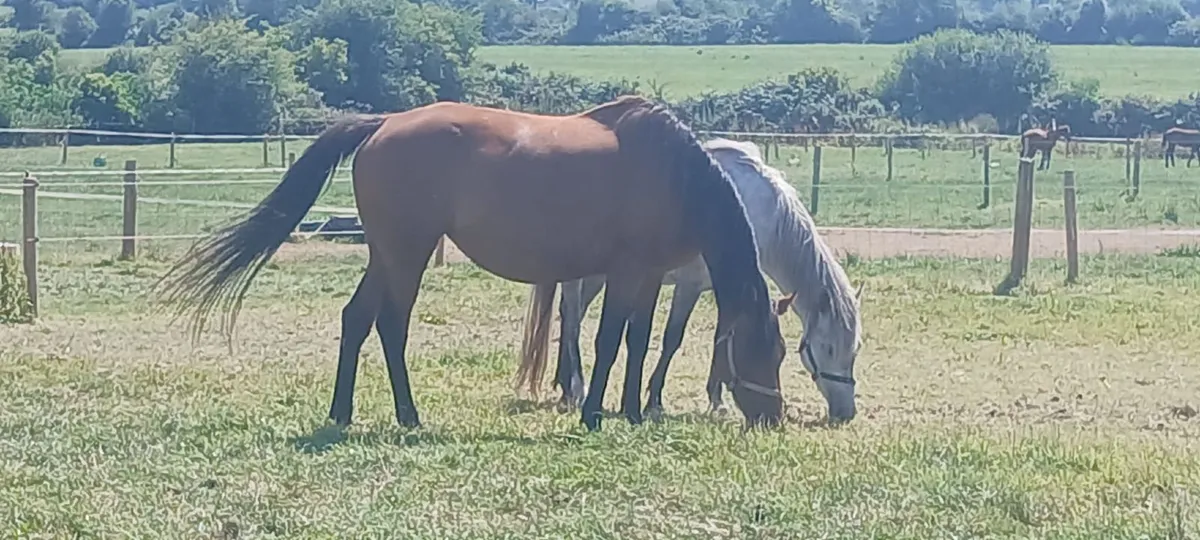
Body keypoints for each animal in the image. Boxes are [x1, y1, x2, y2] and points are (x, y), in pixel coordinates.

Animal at [152, 95, 795, 432]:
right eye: (758, 350)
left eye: (784, 352)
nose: (773, 416)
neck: (676, 175)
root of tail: (383, 124)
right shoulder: (626, 271)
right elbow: (611, 341)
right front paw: (593, 413)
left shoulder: (649, 276)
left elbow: (639, 341)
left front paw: (633, 412)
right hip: (407, 253)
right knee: (390, 325)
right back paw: (409, 416)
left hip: (386, 254)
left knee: (356, 319)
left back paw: (343, 413)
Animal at [538, 138, 862, 424]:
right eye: (828, 347)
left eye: (855, 349)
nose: (845, 413)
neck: (756, 212)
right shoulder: (690, 285)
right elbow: (672, 339)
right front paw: (654, 400)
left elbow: (721, 340)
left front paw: (716, 400)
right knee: (573, 320)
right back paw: (576, 389)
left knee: (571, 315)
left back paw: (565, 386)